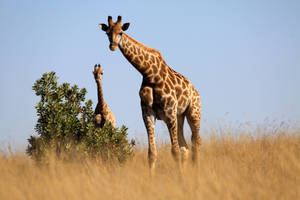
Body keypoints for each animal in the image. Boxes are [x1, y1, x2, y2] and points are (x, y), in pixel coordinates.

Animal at [99, 15, 202, 175]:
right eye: (107, 33)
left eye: (121, 32)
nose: (113, 46)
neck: (149, 74)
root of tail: (195, 91)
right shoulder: (148, 113)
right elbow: (152, 153)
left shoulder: (169, 113)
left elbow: (175, 151)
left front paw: (180, 179)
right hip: (180, 116)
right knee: (185, 147)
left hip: (193, 113)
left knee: (196, 142)